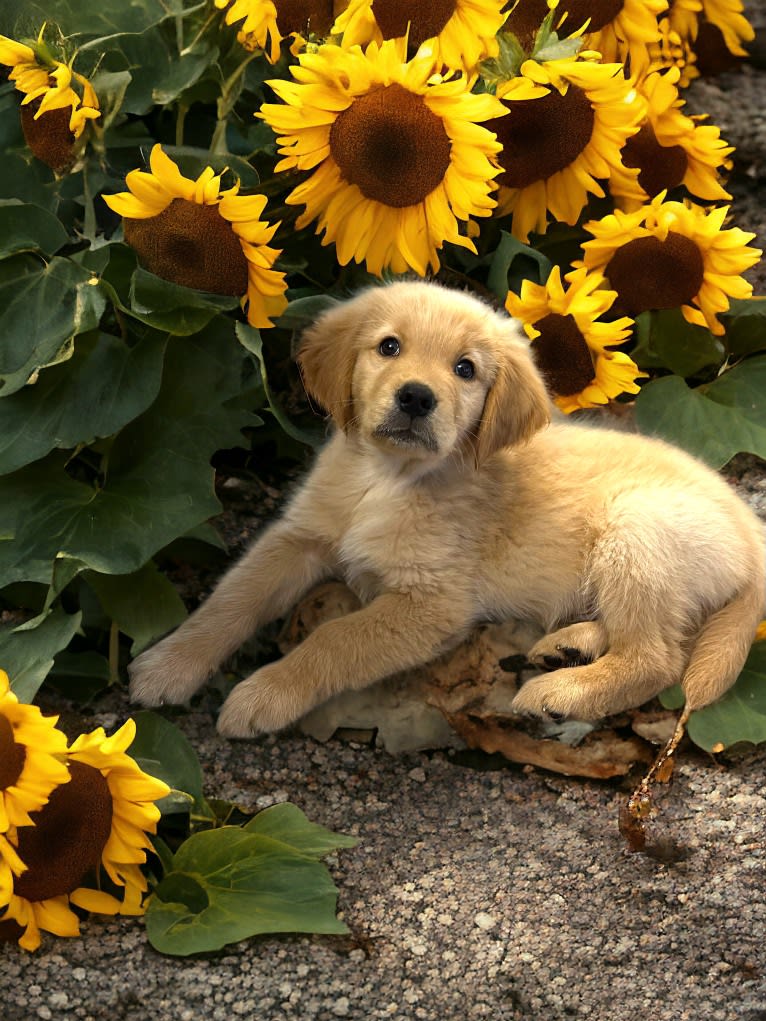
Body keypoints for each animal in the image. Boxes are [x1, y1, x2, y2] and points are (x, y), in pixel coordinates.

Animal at [129, 279, 763, 735]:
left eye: (465, 369)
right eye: (389, 347)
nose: (415, 397)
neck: (385, 480)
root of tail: (750, 524)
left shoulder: (433, 603)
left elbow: (335, 637)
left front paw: (267, 693)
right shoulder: (299, 537)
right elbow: (232, 596)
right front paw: (170, 663)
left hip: (639, 528)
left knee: (658, 657)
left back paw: (562, 692)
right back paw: (569, 646)